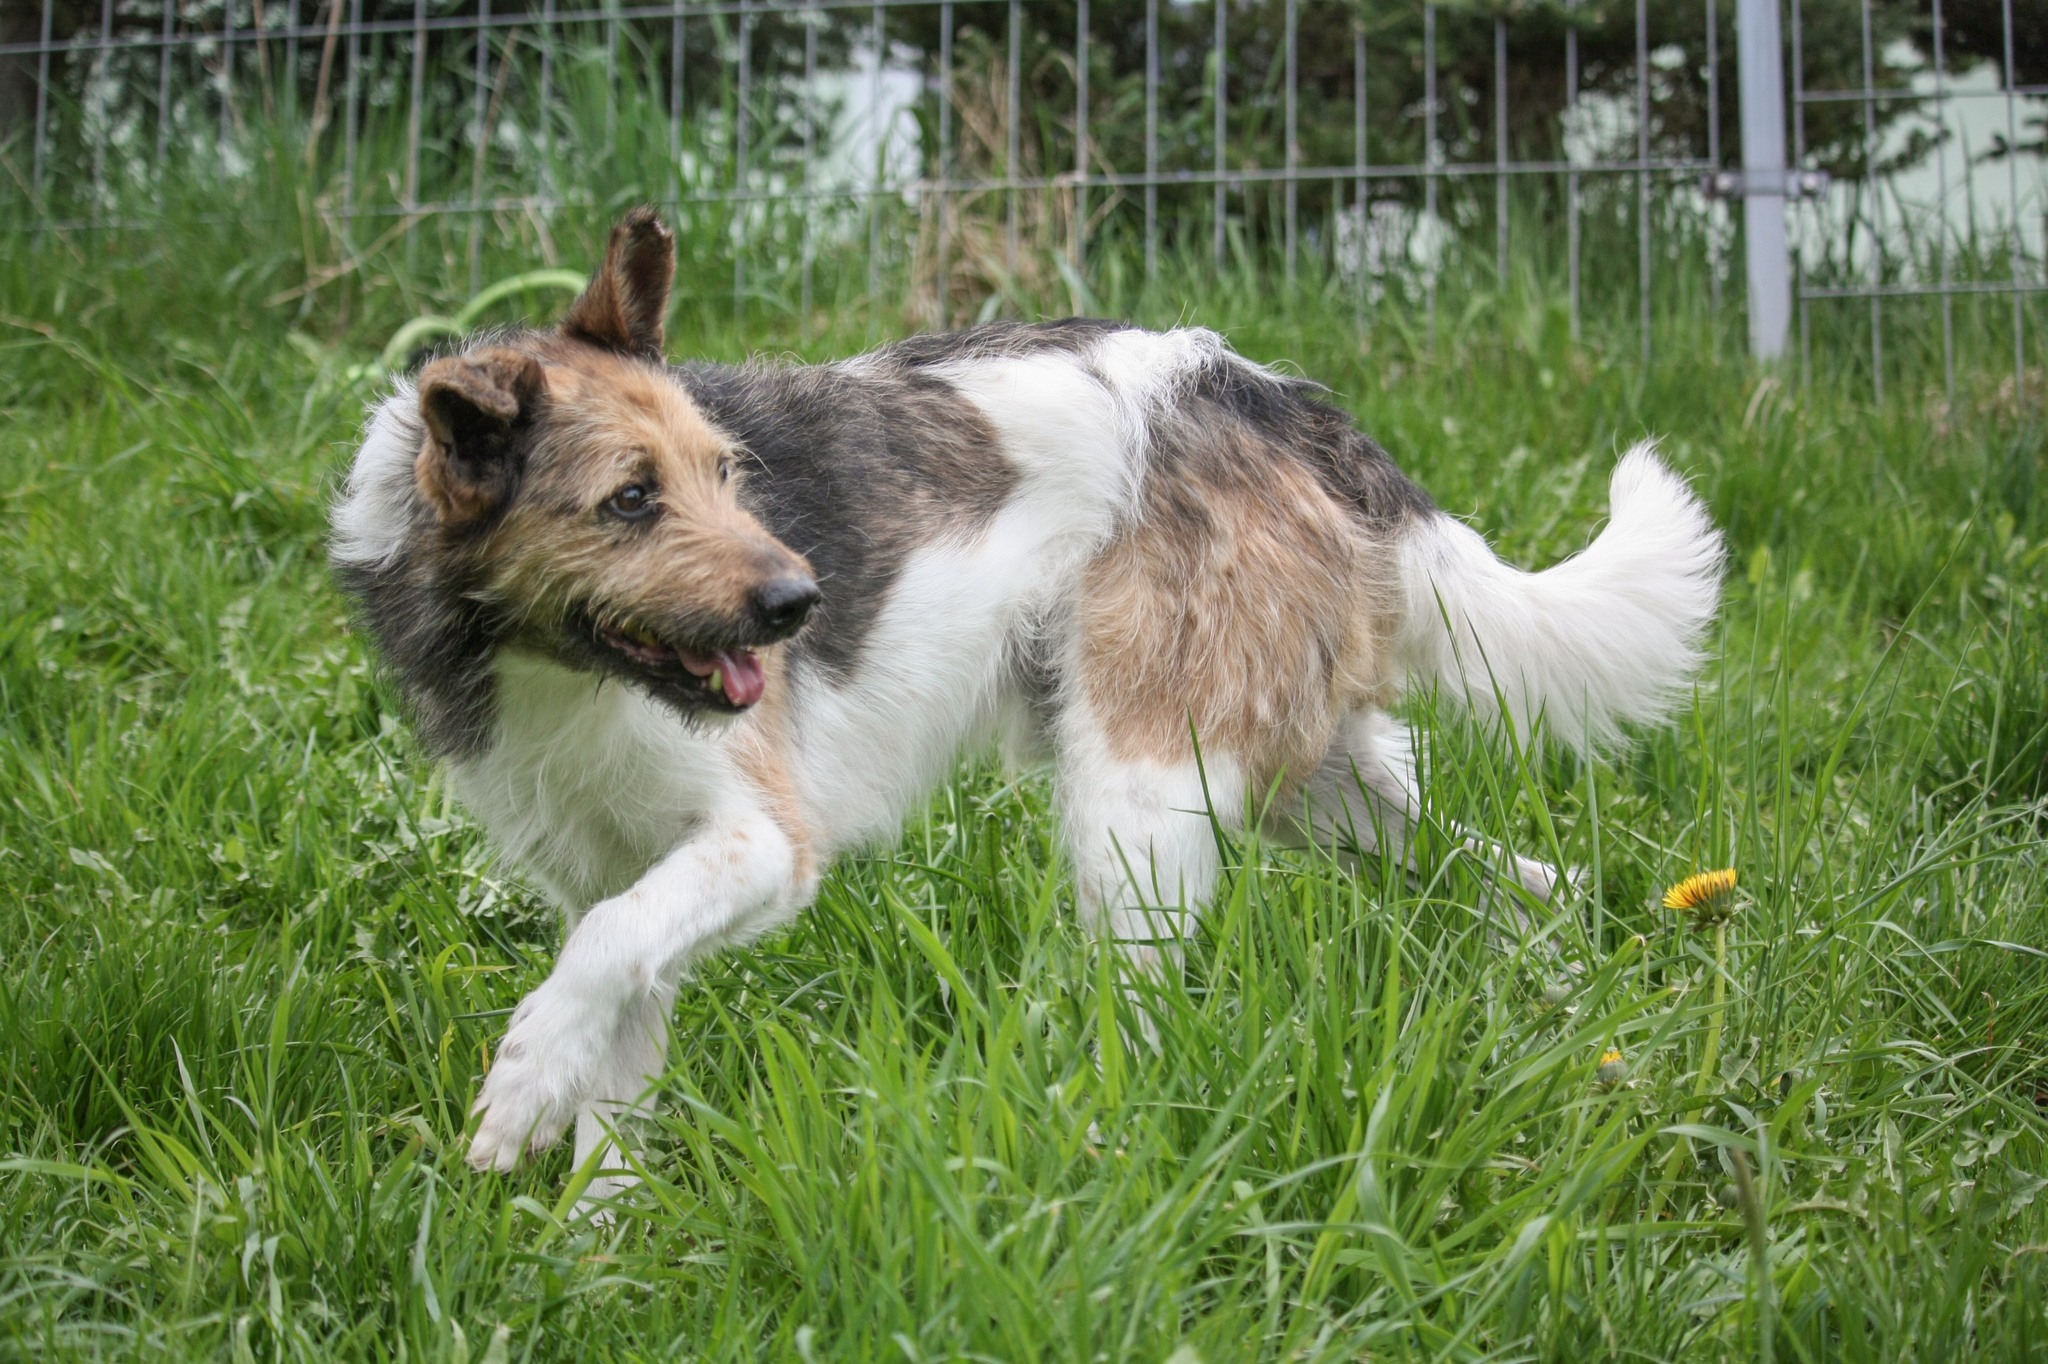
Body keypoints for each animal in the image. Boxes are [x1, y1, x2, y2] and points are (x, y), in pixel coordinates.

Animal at [331, 208, 1722, 1189]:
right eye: (629, 498)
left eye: (729, 473)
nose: (801, 602)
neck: (557, 665)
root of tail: (1263, 394)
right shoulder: (625, 880)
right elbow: (612, 1044)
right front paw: (592, 1254)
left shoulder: (761, 845)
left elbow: (595, 957)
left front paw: (519, 1087)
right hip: (1313, 786)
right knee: (1524, 881)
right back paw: (1568, 1010)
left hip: (1138, 804)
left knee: (1154, 1013)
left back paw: (1096, 1145)